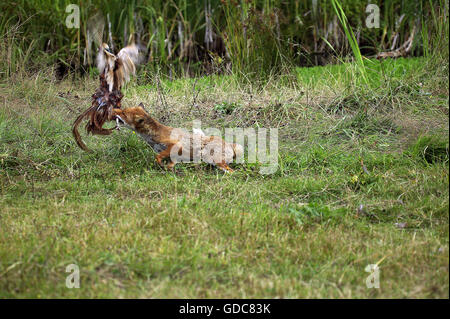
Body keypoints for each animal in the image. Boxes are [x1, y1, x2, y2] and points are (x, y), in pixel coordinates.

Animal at [114, 105, 244, 172]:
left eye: (124, 113)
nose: (113, 110)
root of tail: (229, 145)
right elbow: (170, 161)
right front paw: (169, 168)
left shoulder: (175, 145)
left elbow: (158, 157)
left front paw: (162, 165)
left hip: (214, 160)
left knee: (231, 172)